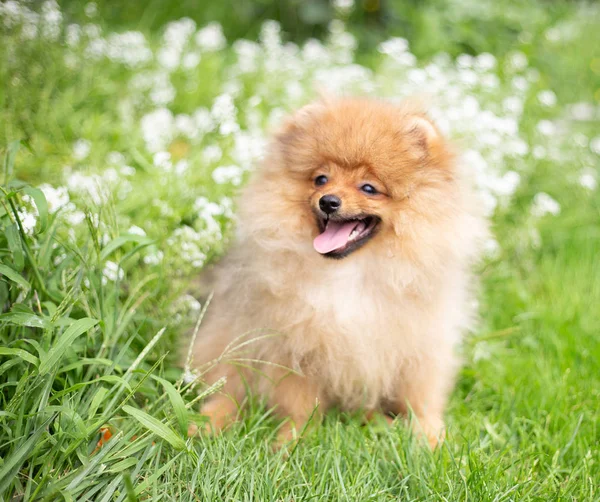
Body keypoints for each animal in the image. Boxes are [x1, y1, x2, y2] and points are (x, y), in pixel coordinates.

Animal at [189, 97, 488, 448]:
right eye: (321, 179)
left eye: (369, 188)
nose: (328, 201)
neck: (350, 272)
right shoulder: (293, 348)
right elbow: (300, 406)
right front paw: (292, 441)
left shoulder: (418, 347)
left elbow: (420, 400)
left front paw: (429, 438)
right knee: (229, 390)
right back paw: (207, 422)